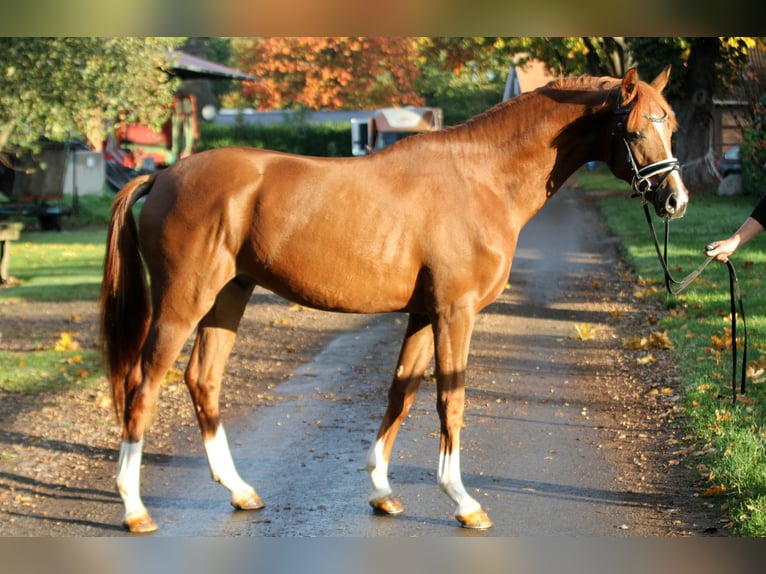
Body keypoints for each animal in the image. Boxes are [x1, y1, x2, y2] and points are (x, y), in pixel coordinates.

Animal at [100, 67, 688, 536]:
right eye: (636, 129)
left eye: (672, 125)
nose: (675, 200)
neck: (481, 179)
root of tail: (164, 174)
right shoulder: (455, 312)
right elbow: (451, 399)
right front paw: (463, 501)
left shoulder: (424, 315)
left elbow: (400, 394)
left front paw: (383, 492)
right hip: (183, 300)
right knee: (143, 385)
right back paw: (134, 509)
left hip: (229, 296)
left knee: (203, 380)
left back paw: (240, 491)